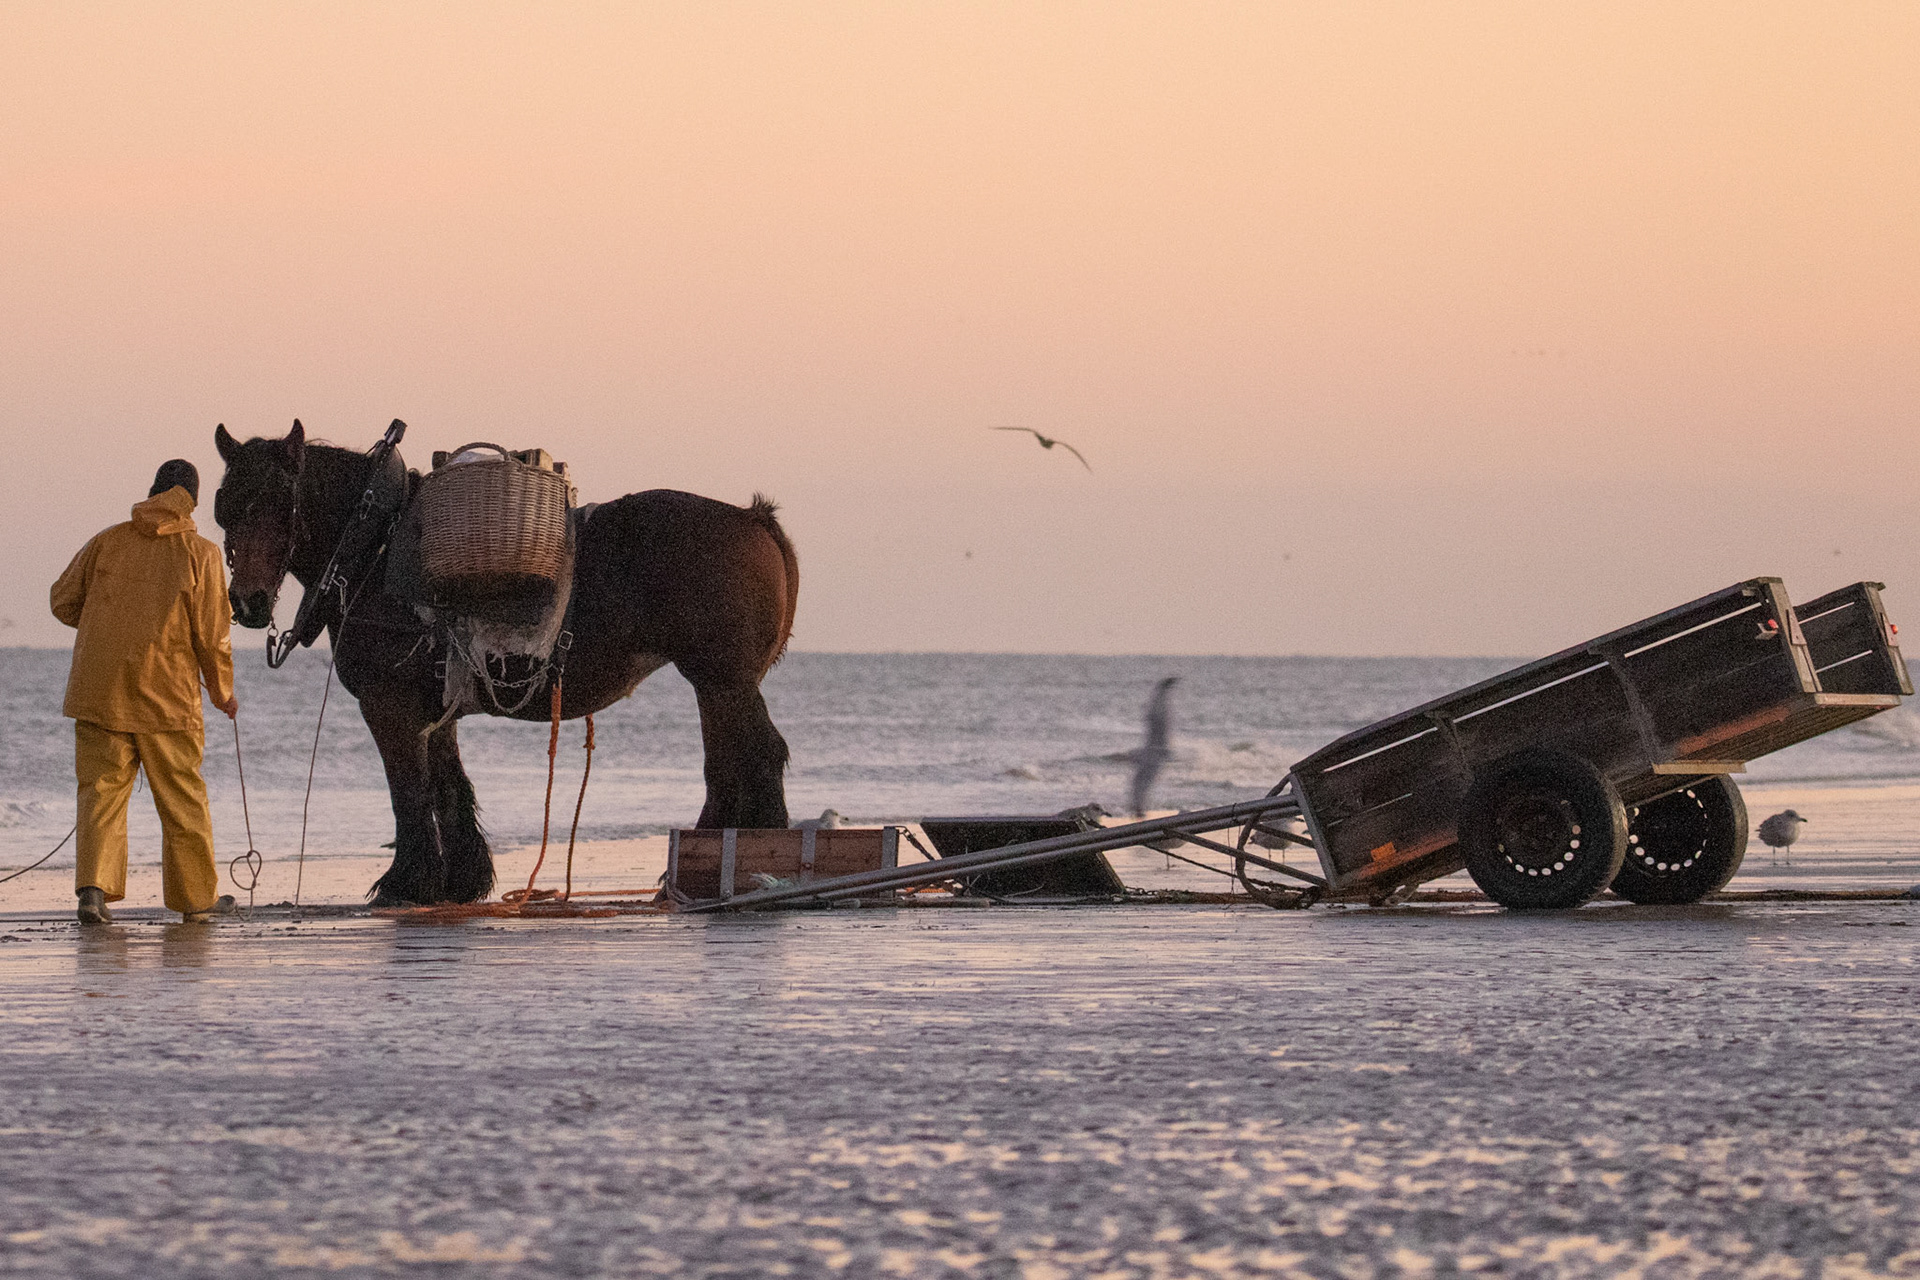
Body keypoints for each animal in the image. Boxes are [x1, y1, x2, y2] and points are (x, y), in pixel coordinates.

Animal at [213, 421, 798, 906]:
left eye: (282, 502)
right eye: (226, 506)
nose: (247, 601)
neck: (374, 549)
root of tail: (752, 517)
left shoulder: (388, 707)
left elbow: (408, 791)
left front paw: (407, 882)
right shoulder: (434, 709)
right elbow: (448, 788)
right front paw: (460, 881)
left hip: (722, 681)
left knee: (757, 757)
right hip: (716, 684)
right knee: (727, 765)